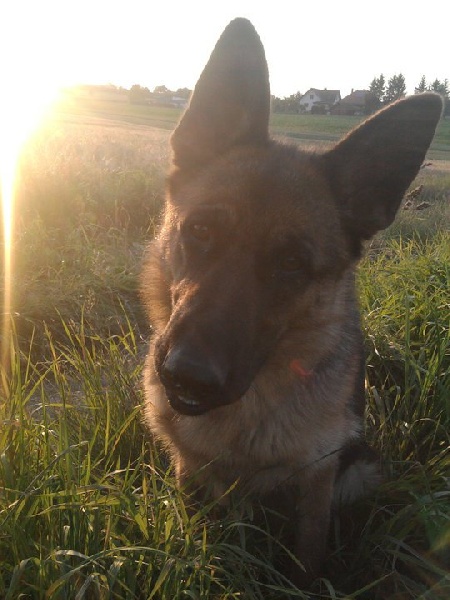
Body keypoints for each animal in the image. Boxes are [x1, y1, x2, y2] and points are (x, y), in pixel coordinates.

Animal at [142, 17, 442, 584]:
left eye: (292, 265)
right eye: (200, 231)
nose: (187, 377)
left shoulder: (318, 478)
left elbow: (309, 550)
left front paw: (309, 583)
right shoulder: (187, 469)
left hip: (360, 466)